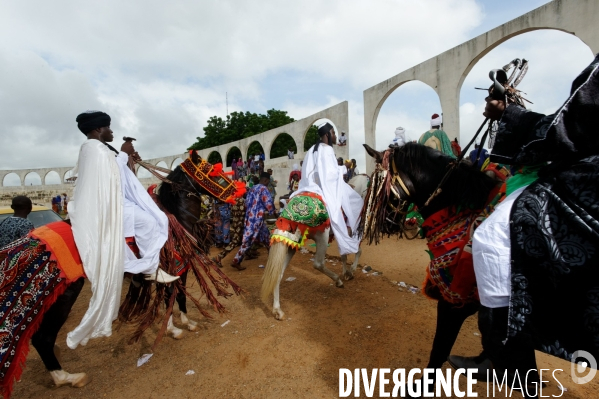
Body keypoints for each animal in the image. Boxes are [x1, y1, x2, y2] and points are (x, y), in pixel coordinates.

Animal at [260, 180, 368, 322]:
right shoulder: (347, 230)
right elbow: (354, 251)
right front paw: (349, 272)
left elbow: (344, 255)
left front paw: (347, 272)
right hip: (322, 235)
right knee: (318, 263)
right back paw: (338, 281)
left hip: (291, 244)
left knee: (278, 273)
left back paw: (277, 310)